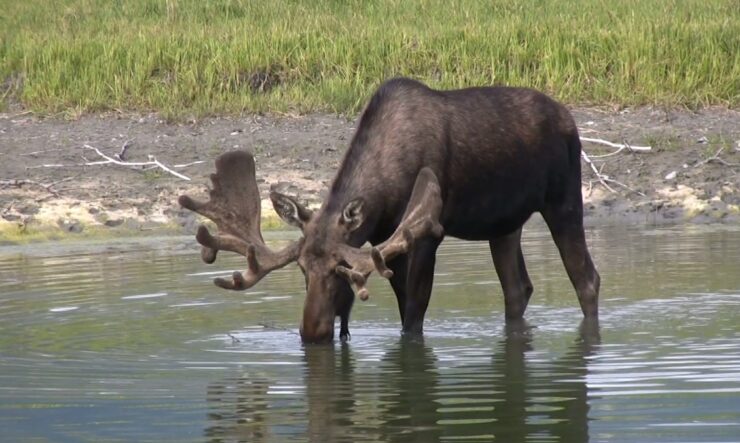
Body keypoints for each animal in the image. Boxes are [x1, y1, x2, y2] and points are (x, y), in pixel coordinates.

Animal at [179, 78, 600, 346]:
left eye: (341, 270)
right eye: (301, 269)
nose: (312, 333)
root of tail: (571, 120)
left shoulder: (428, 232)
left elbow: (413, 313)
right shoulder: (384, 240)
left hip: (563, 200)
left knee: (587, 279)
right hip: (504, 224)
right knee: (518, 289)